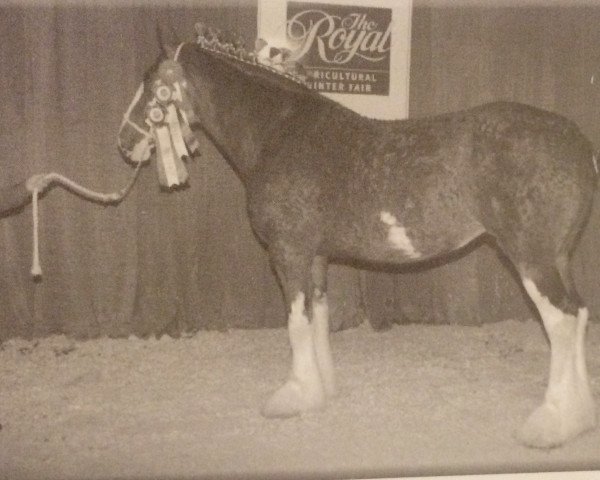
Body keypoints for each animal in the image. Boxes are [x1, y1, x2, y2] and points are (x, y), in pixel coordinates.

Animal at [116, 25, 596, 446]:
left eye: (150, 84)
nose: (124, 142)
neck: (278, 132)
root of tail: (578, 143)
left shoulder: (288, 251)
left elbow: (295, 322)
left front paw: (292, 396)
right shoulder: (315, 256)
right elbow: (317, 317)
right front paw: (321, 390)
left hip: (531, 257)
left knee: (561, 321)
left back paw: (550, 424)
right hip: (558, 258)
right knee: (580, 312)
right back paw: (581, 417)